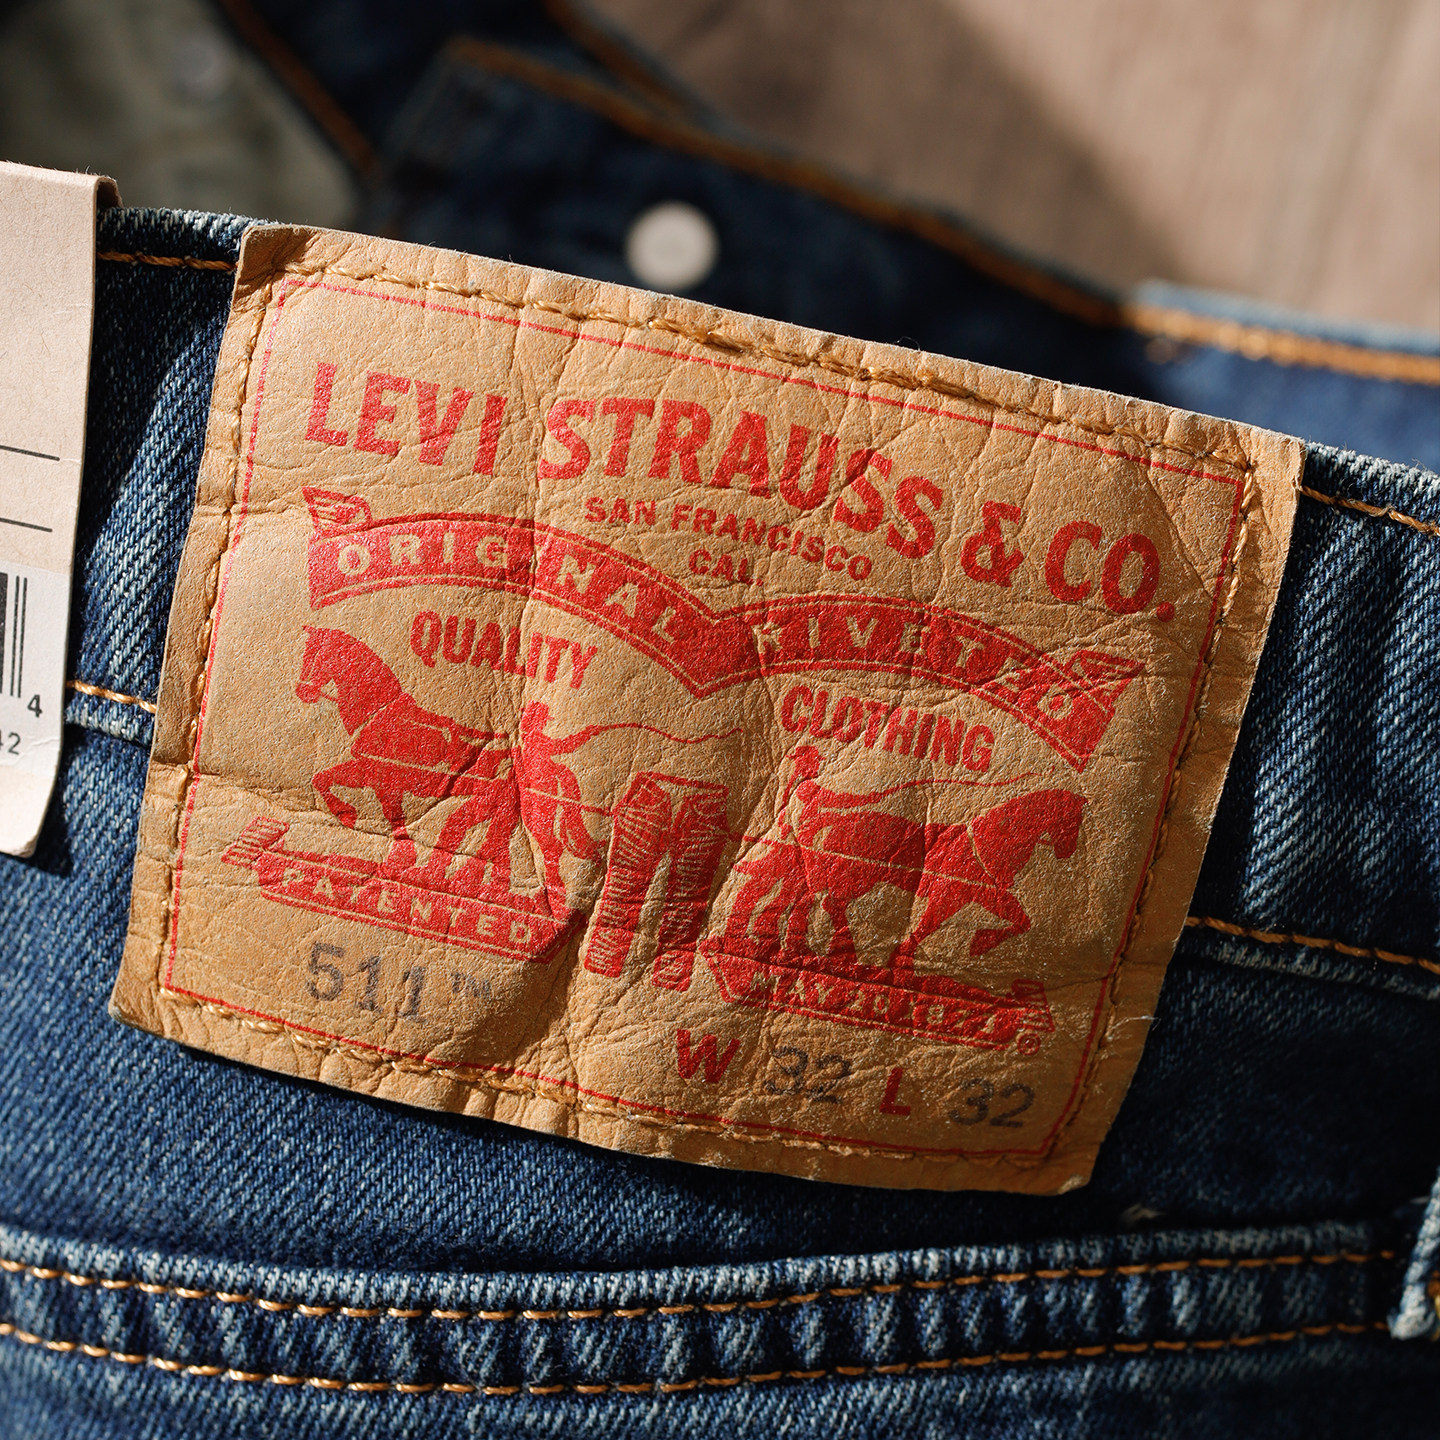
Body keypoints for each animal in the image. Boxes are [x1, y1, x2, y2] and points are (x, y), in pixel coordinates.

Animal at [295, 627, 520, 888]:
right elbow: (321, 778)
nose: (303, 692)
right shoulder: (368, 773)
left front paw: (399, 857)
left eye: (313, 656)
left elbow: (394, 819)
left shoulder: (383, 781)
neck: (379, 714)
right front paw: (348, 814)